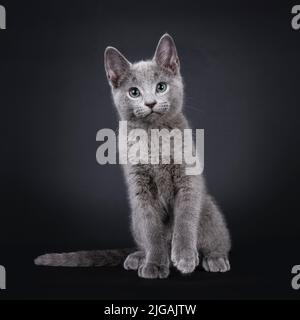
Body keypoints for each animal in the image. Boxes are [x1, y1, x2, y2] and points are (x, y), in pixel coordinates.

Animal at [35, 34, 232, 278]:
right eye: (134, 92)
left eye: (161, 87)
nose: (150, 103)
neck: (153, 135)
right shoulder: (140, 189)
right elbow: (152, 230)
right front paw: (155, 264)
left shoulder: (188, 178)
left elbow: (185, 220)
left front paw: (185, 257)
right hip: (134, 219)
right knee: (147, 240)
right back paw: (139, 257)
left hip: (208, 210)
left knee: (219, 239)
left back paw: (214, 258)